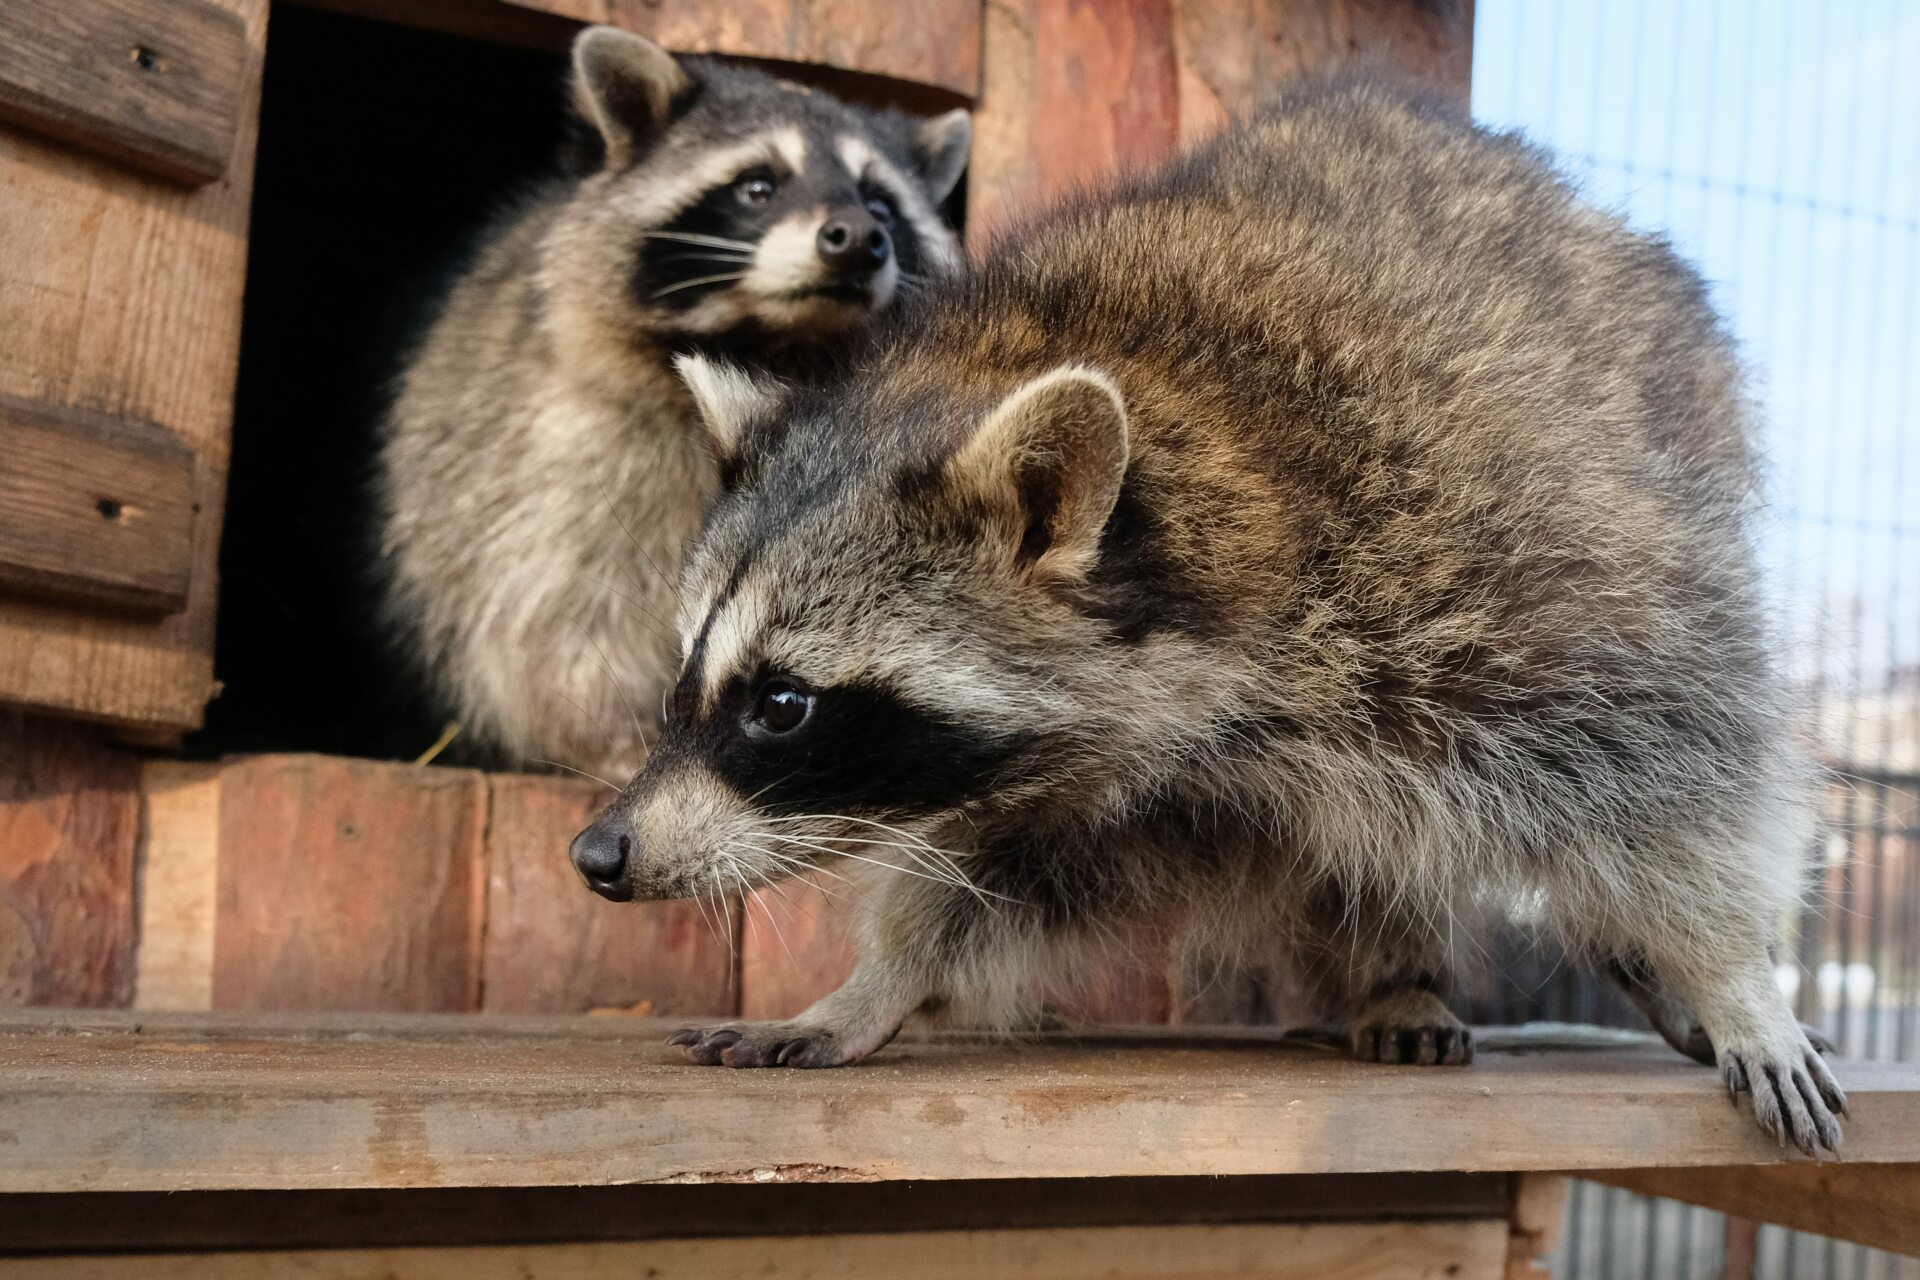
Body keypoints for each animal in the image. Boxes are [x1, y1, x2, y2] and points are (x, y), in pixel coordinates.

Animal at [379, 26, 969, 778]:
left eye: (883, 204)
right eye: (757, 186)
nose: (860, 239)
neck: (777, 343)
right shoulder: (551, 437)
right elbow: (550, 607)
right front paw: (612, 733)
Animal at [571, 78, 1847, 1153]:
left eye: (782, 703)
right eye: (685, 676)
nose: (598, 850)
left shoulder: (1485, 560)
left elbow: (1675, 766)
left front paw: (1733, 973)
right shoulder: (1113, 775)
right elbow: (994, 868)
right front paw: (877, 984)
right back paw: (1391, 965)